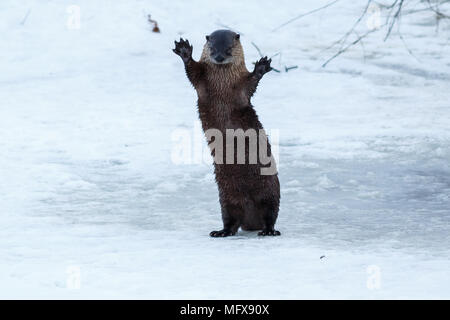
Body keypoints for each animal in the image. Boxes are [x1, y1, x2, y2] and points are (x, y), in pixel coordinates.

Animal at [174, 29, 280, 235]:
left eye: (229, 48)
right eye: (213, 47)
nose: (219, 57)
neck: (222, 83)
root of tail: (251, 220)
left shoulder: (241, 88)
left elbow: (251, 83)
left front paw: (261, 67)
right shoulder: (202, 81)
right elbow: (192, 71)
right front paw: (184, 51)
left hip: (270, 190)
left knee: (271, 214)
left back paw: (269, 230)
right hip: (226, 198)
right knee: (231, 219)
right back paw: (220, 232)